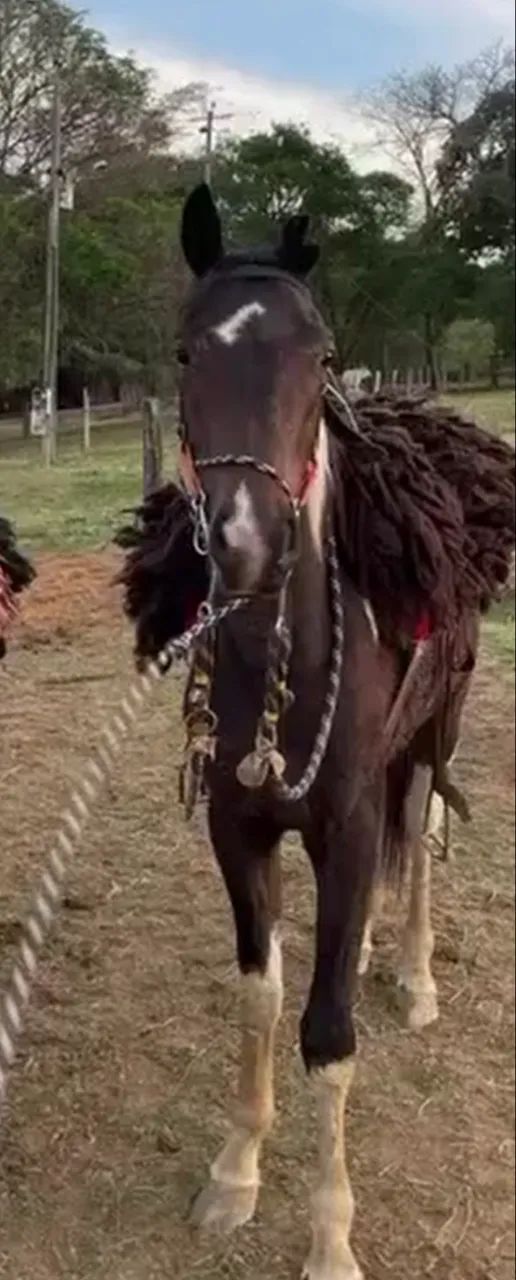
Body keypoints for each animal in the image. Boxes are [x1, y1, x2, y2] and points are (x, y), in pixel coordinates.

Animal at [119, 184, 514, 1280]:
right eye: (185, 351)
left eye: (322, 352)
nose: (245, 544)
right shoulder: (239, 828)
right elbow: (262, 995)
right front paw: (236, 1173)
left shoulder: (341, 825)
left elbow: (328, 1030)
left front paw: (331, 1237)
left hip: (433, 737)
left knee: (417, 843)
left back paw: (414, 973)